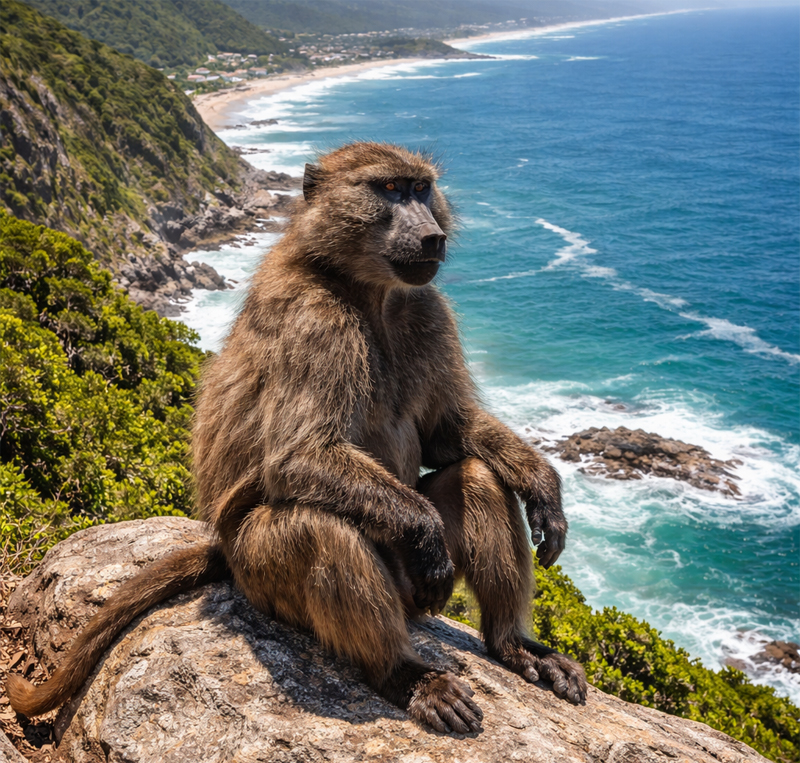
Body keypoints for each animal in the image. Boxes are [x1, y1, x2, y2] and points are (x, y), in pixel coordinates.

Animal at [6, 142, 587, 734]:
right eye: (389, 190)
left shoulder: (427, 309)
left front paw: (543, 488)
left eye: (422, 189)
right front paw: (428, 540)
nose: (431, 237)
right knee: (320, 527)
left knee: (475, 478)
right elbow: (299, 457)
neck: (365, 290)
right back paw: (405, 676)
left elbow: (444, 433)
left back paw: (514, 646)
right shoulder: (315, 321)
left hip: (405, 594)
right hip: (260, 572)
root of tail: (223, 552)